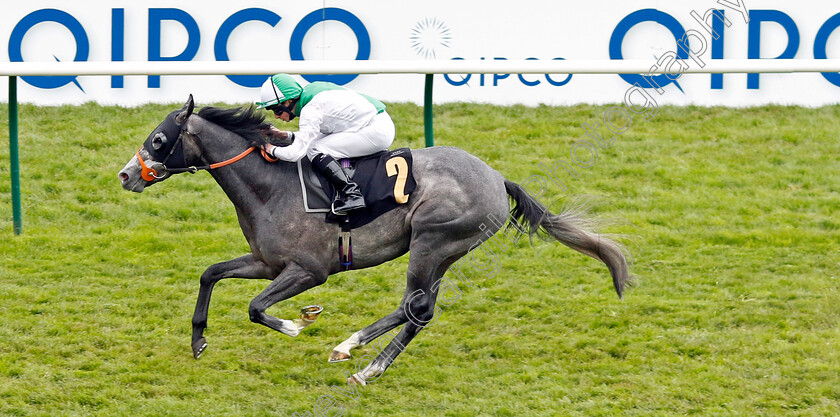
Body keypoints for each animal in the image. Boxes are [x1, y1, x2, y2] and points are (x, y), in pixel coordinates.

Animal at [116, 96, 632, 386]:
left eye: (159, 139)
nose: (124, 175)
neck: (269, 185)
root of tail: (496, 177)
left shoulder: (308, 270)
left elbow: (256, 308)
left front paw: (299, 323)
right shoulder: (267, 263)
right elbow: (210, 275)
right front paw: (199, 341)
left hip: (432, 242)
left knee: (415, 307)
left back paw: (358, 358)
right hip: (443, 253)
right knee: (419, 310)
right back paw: (359, 358)